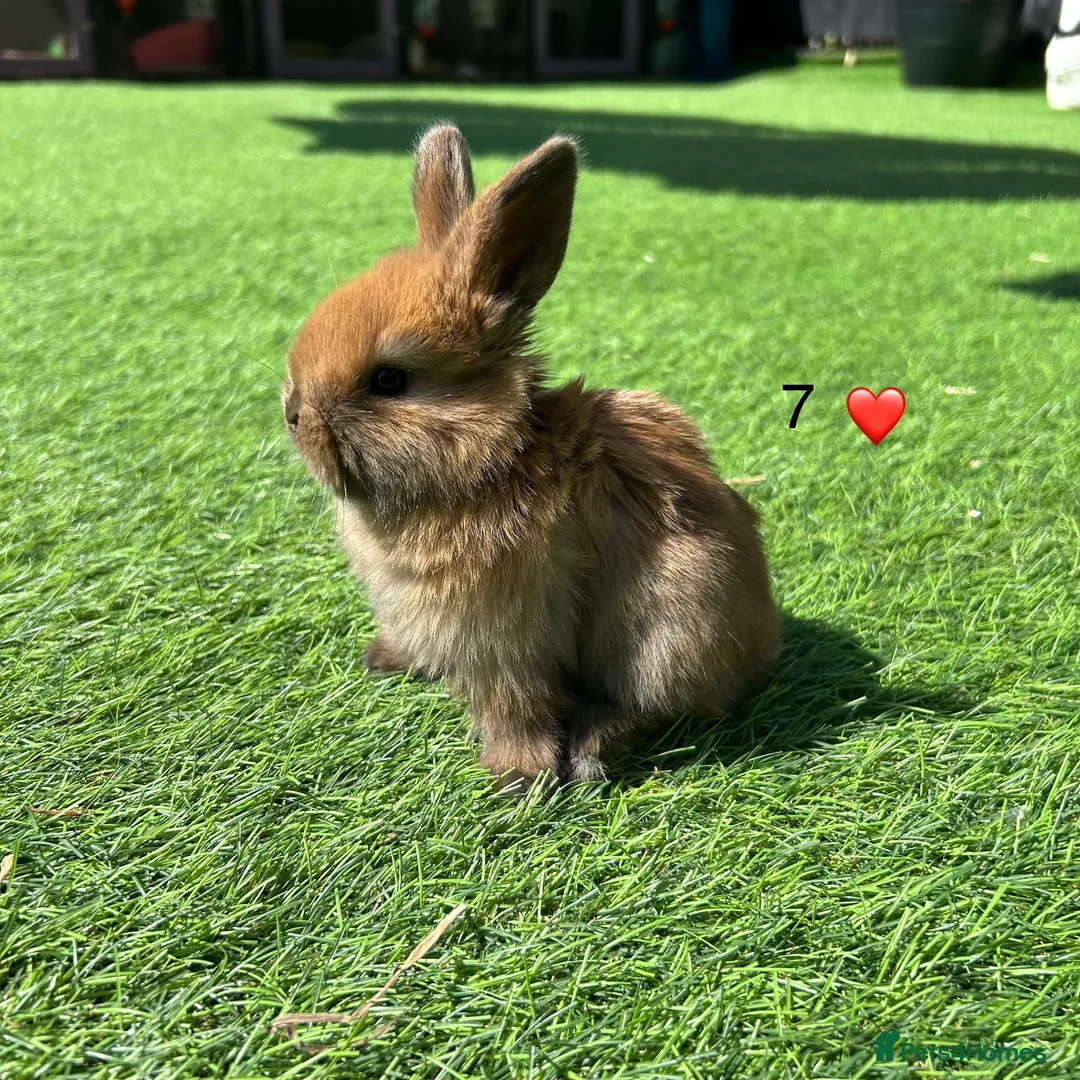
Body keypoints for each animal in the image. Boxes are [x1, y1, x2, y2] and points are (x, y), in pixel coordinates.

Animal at [282, 124, 781, 793]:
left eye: (389, 380)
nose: (292, 413)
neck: (489, 461)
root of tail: (761, 647)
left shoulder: (507, 645)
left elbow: (518, 708)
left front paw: (516, 777)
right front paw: (388, 659)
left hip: (665, 639)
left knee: (646, 709)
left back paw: (592, 748)